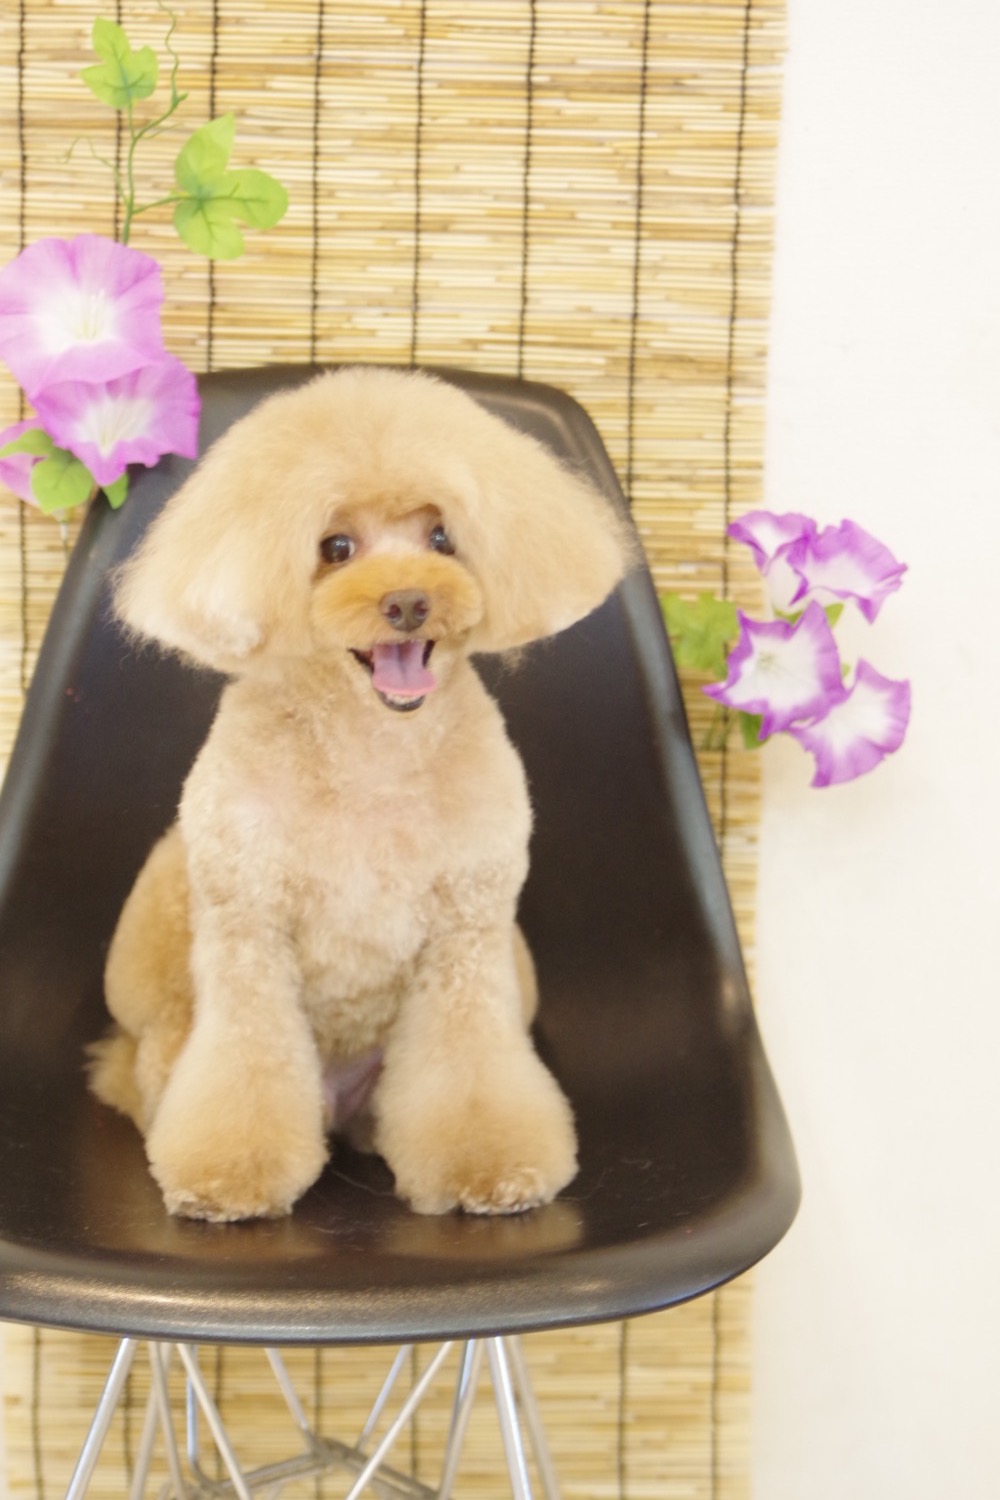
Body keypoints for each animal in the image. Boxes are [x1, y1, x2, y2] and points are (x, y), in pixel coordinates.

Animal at [89, 367, 633, 1221]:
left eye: (442, 537)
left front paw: (489, 1168)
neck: (372, 752)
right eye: (335, 548)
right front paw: (230, 1175)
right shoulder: (249, 931)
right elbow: (245, 1064)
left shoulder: (466, 936)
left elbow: (471, 1066)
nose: (409, 601)